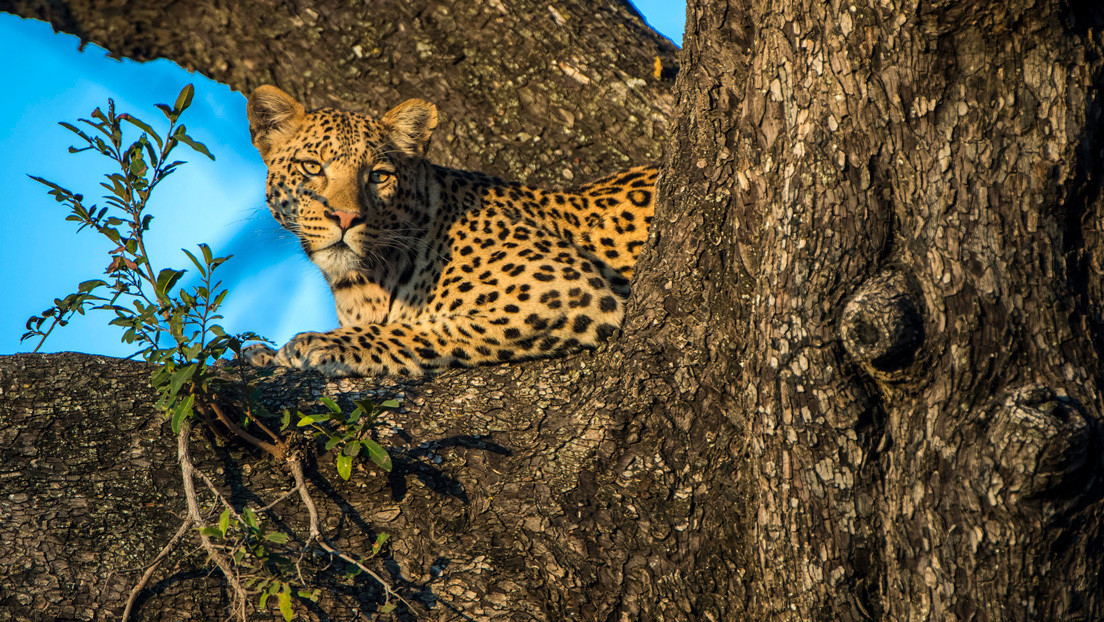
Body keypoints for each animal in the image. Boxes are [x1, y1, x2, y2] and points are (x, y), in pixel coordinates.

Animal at [241, 84, 653, 377]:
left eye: (378, 176)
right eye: (312, 167)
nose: (344, 218)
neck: (360, 284)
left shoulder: (569, 291)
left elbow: (419, 328)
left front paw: (319, 344)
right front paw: (265, 355)